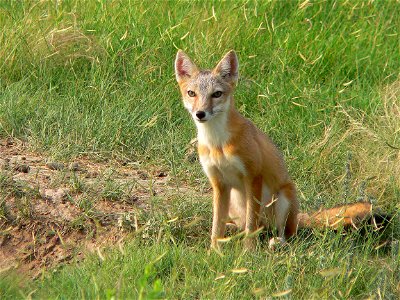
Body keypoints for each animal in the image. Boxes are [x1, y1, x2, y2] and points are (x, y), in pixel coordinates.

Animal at [173, 50, 390, 250]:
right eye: (191, 93)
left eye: (216, 94)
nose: (200, 113)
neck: (217, 144)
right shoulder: (219, 183)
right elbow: (216, 226)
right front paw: (215, 252)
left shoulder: (253, 177)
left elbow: (251, 225)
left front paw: (248, 252)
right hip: (234, 202)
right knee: (248, 226)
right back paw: (235, 232)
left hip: (283, 200)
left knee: (282, 233)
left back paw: (277, 242)